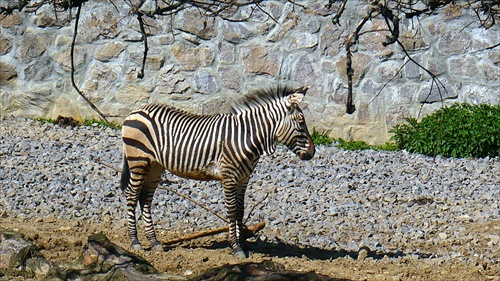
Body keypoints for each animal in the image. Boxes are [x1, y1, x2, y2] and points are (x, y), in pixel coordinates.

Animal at [120, 85, 314, 256]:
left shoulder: (244, 178)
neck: (245, 137)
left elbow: (240, 210)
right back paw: (135, 241)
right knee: (131, 195)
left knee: (145, 199)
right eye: (301, 122)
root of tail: (137, 109)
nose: (312, 153)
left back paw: (154, 242)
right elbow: (231, 210)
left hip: (155, 166)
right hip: (138, 161)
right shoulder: (229, 176)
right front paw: (236, 247)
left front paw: (243, 243)